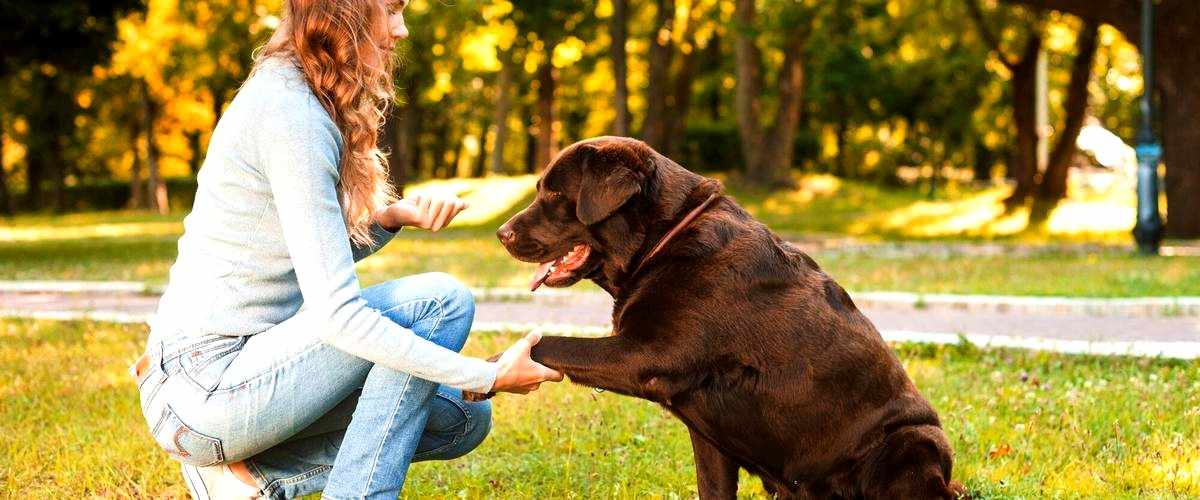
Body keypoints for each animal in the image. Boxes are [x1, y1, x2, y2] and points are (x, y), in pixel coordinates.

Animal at [472, 136, 960, 498]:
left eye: (556, 194)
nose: (500, 233)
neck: (666, 239)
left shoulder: (644, 354)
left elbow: (552, 342)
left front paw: (488, 370)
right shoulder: (707, 435)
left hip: (913, 439)